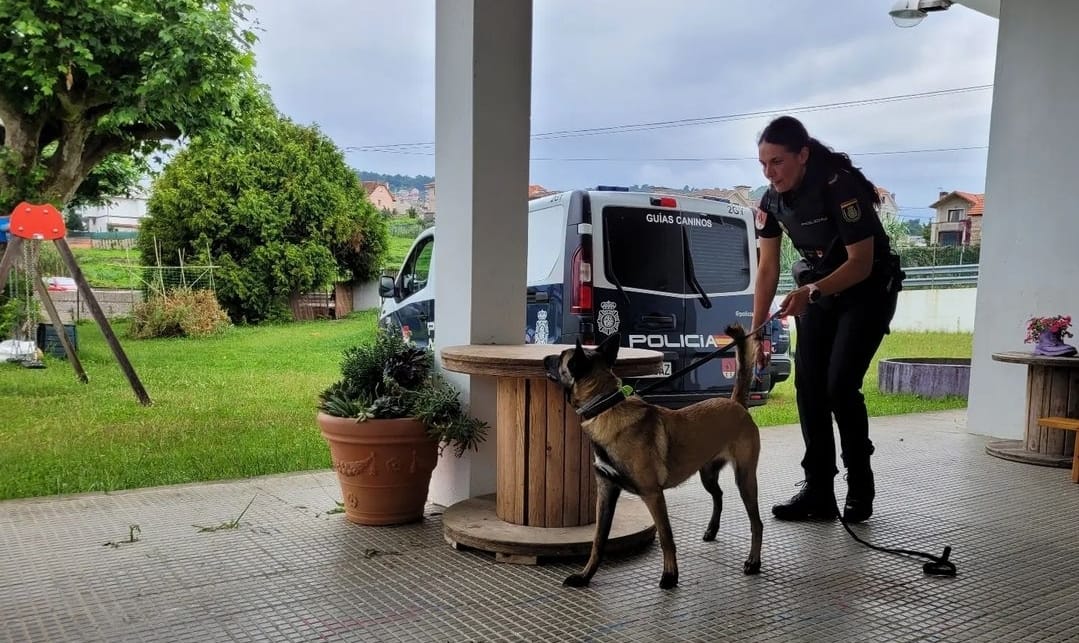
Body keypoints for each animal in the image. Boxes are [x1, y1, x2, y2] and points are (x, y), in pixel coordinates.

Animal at [543, 323, 763, 591]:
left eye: (560, 358)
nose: (543, 358)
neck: (606, 407)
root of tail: (736, 404)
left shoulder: (653, 495)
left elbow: (666, 537)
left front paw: (670, 576)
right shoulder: (606, 493)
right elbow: (598, 541)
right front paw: (585, 576)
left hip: (745, 479)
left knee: (757, 523)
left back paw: (753, 562)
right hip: (708, 474)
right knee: (718, 495)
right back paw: (712, 530)